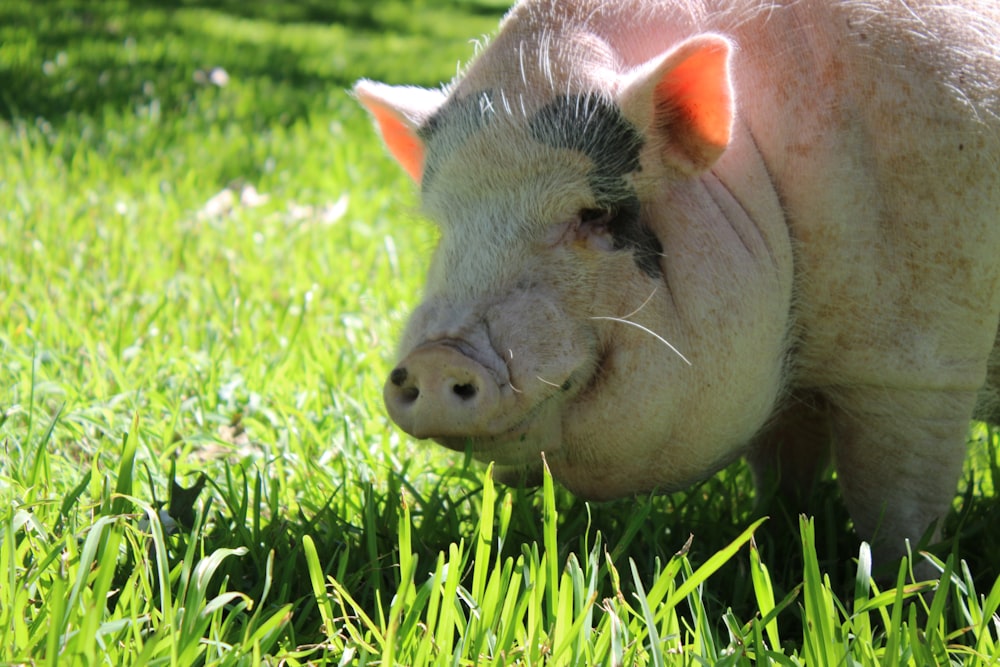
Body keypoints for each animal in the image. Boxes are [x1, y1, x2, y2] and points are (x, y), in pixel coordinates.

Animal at [354, 0, 1000, 576]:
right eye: (443, 228)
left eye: (594, 214)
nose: (437, 357)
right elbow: (783, 466)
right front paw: (774, 533)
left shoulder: (919, 366)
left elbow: (898, 509)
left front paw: (906, 587)